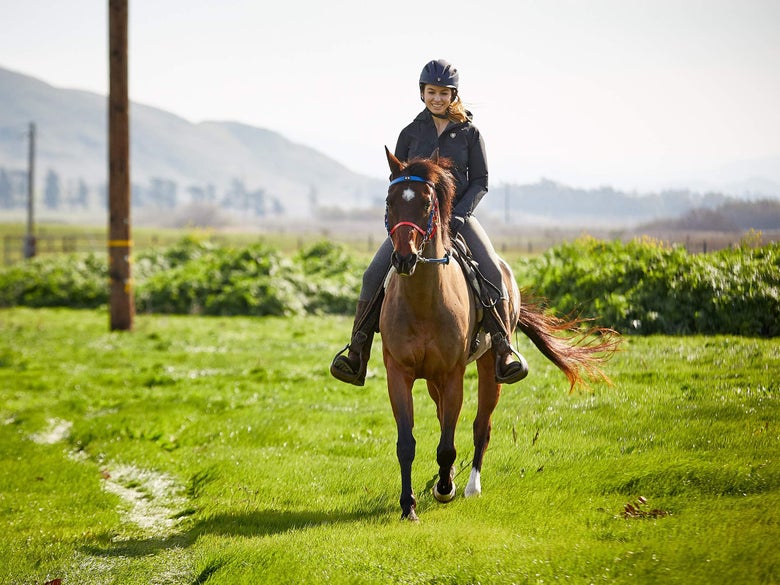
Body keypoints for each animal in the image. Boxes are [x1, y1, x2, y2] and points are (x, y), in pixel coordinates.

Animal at [380, 147, 619, 521]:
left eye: (426, 203)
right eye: (390, 201)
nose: (405, 258)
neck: (422, 301)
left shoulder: (453, 374)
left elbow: (448, 444)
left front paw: (445, 490)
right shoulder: (399, 373)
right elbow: (407, 443)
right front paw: (409, 506)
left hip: (489, 366)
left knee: (482, 427)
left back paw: (469, 487)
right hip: (433, 379)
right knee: (445, 419)